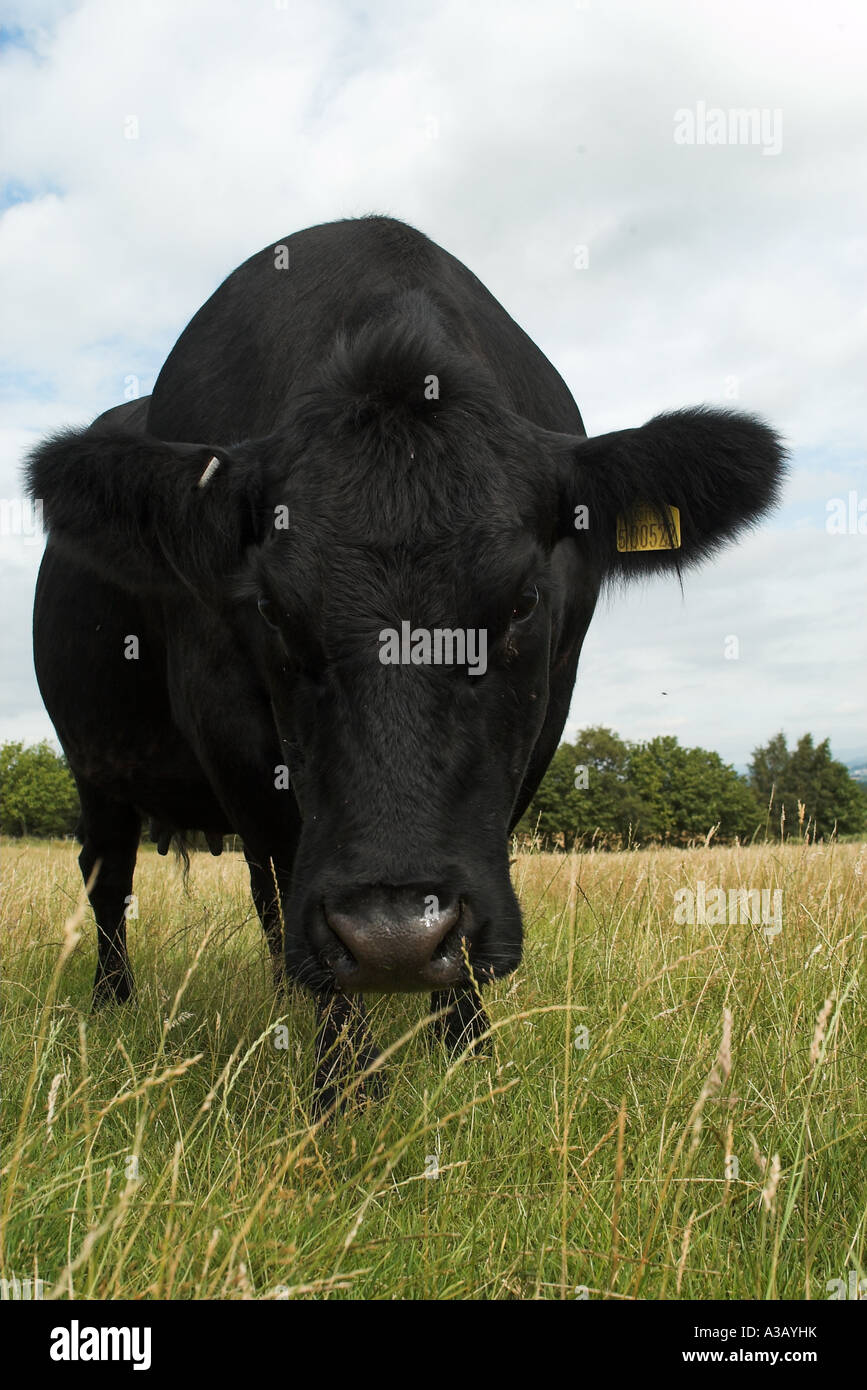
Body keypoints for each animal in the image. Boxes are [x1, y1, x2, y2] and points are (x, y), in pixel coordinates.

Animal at [26, 215, 785, 1110]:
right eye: (270, 608)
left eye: (523, 599)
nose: (393, 940)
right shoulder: (224, 716)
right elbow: (283, 863)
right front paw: (347, 1086)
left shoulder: (546, 711)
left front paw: (467, 1053)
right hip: (94, 763)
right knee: (111, 880)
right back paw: (115, 1004)